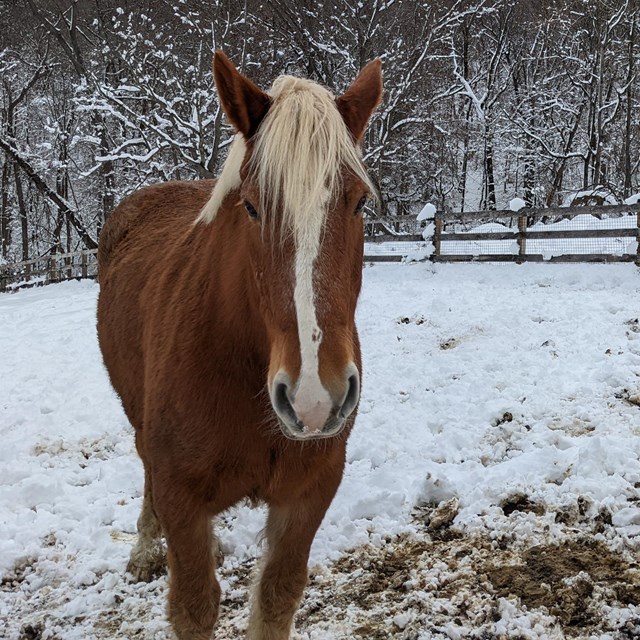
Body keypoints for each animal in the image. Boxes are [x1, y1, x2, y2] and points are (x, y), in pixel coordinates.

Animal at [97, 51, 382, 640]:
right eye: (251, 207)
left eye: (359, 202)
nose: (314, 398)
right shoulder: (182, 499)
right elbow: (194, 606)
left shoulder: (308, 494)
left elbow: (276, 598)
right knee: (143, 468)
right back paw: (145, 548)